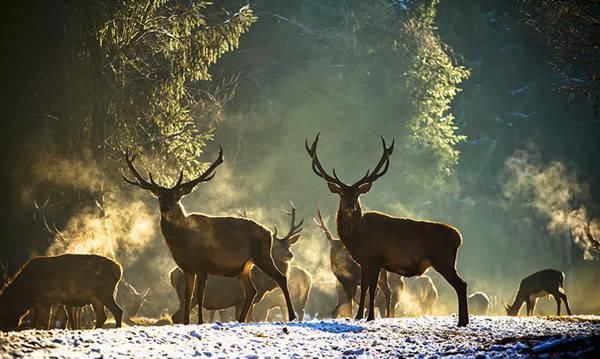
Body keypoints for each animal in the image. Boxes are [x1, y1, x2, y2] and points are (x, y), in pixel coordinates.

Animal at [170, 205, 304, 324]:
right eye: (275, 248)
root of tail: (172, 275)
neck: (264, 284)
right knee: (176, 316)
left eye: (289, 245)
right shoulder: (239, 300)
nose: (290, 255)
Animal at [304, 134, 468, 326]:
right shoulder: (364, 261)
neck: (358, 238)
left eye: (357, 194)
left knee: (461, 284)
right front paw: (359, 316)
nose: (350, 206)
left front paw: (370, 317)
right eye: (342, 193)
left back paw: (462, 321)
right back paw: (464, 321)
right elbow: (365, 287)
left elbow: (373, 289)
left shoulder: (376, 258)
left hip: (443, 259)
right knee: (462, 284)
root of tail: (458, 237)